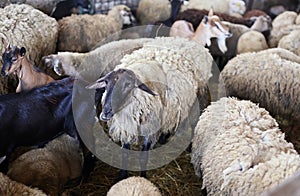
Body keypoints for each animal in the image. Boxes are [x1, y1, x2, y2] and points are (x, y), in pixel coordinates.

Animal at [86, 36, 213, 179]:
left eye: (127, 85)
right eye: (106, 84)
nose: (105, 113)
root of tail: (186, 40)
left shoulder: (150, 126)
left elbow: (143, 156)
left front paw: (142, 176)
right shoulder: (127, 127)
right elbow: (125, 153)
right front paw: (123, 176)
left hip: (199, 99)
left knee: (194, 124)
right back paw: (163, 139)